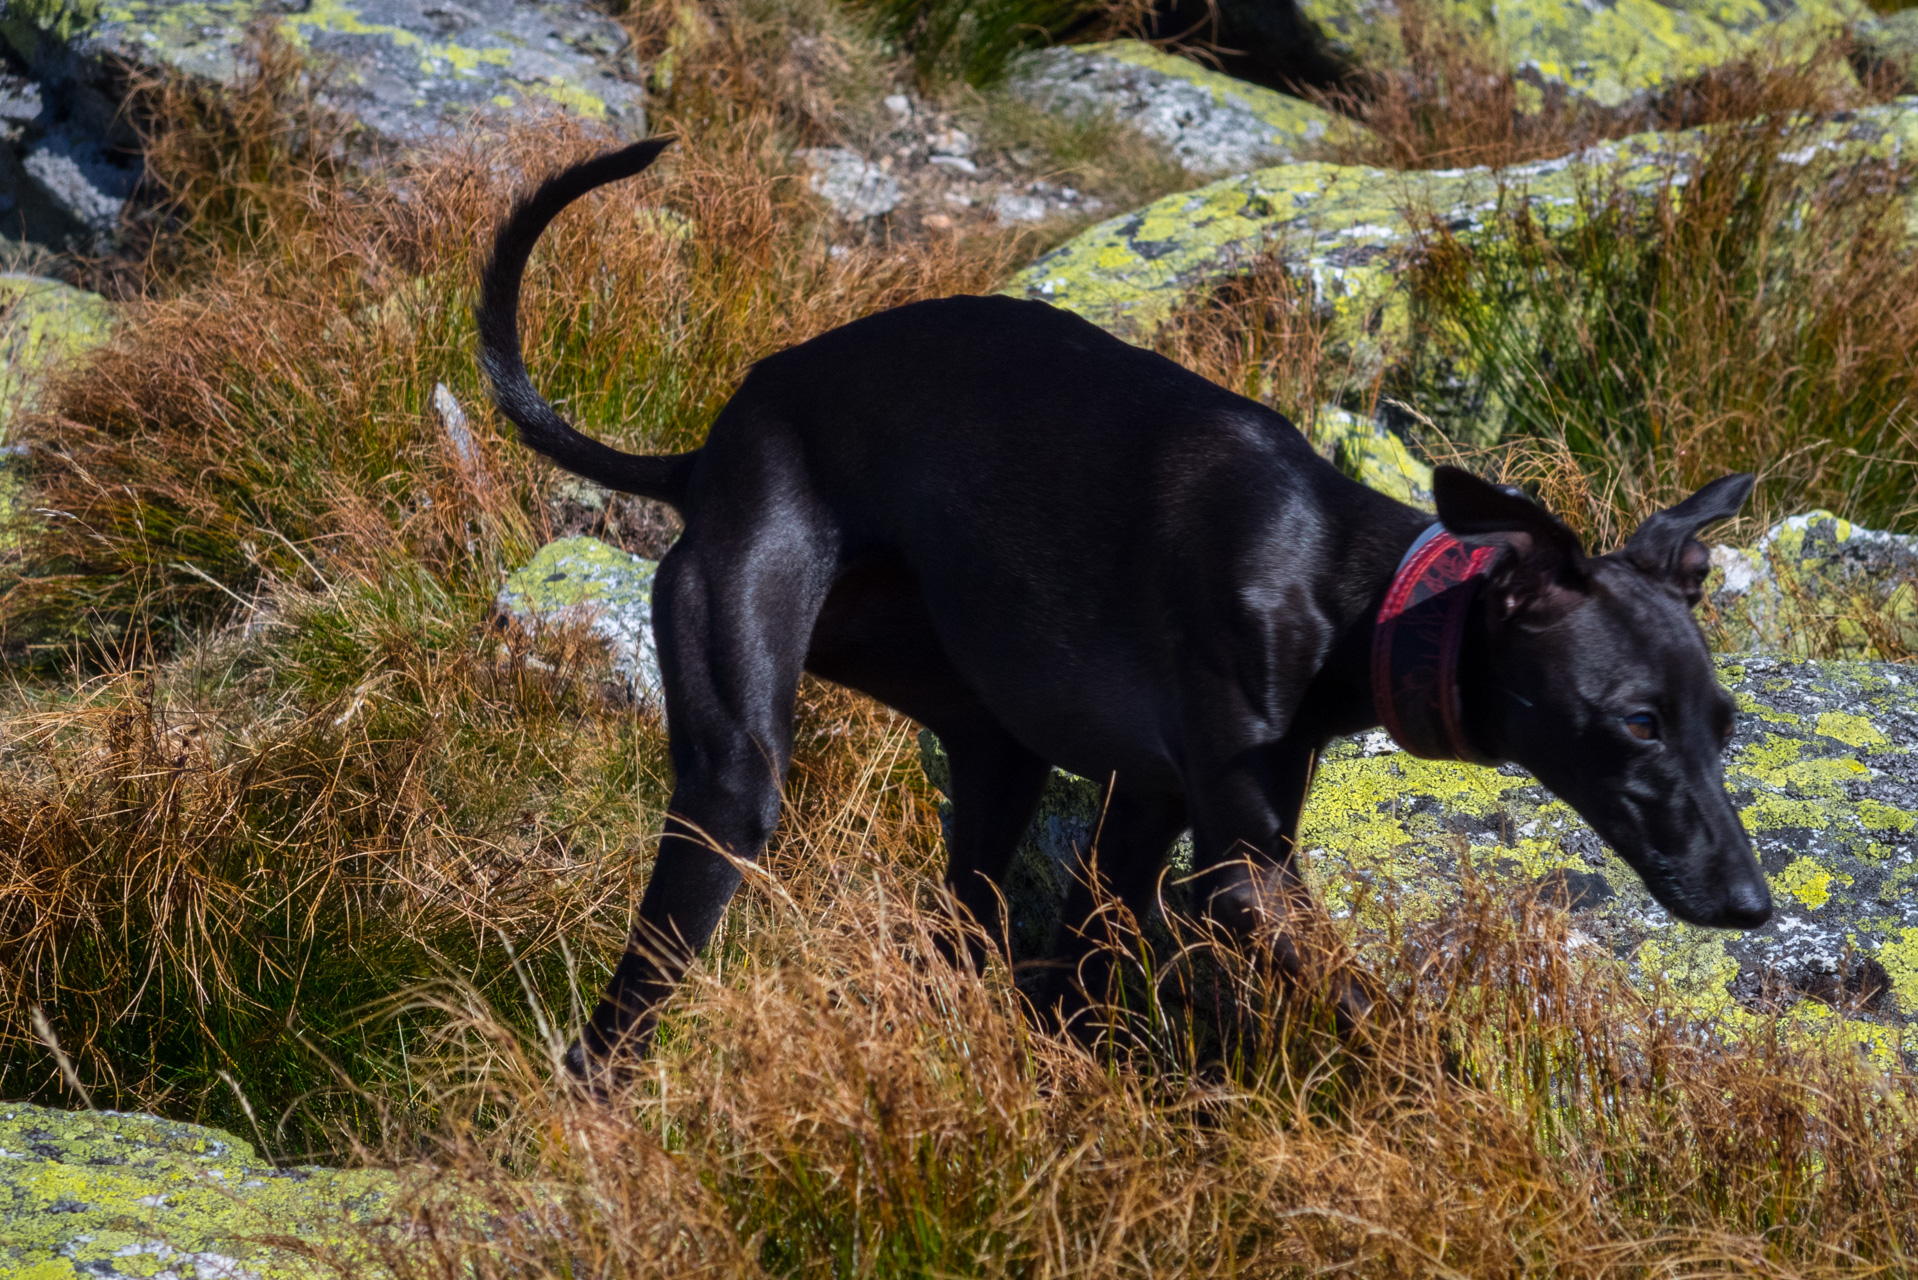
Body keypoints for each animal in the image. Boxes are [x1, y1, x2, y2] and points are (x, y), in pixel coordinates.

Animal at [475, 140, 1764, 1082]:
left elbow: (1080, 962)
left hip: (985, 736)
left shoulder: (1141, 806)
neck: (1343, 582)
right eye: (1635, 723)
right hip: (734, 771)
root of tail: (707, 452)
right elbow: (1371, 1006)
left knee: (968, 912)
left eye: (1726, 725)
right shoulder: (1240, 870)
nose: (1750, 904)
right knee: (634, 994)